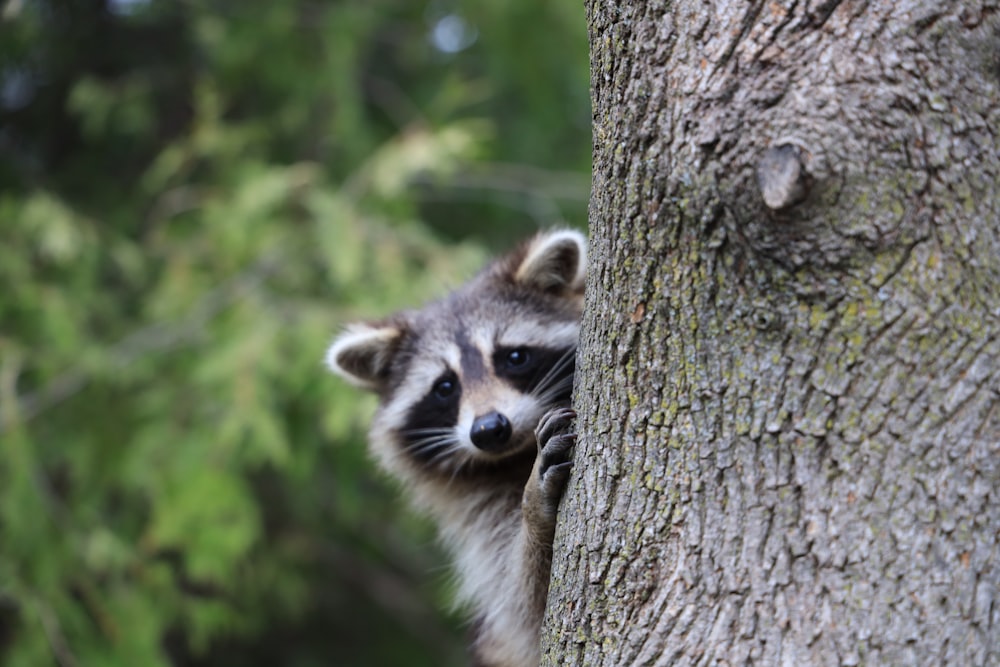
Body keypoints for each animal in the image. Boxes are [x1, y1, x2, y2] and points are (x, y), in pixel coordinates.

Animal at [326, 231, 584, 667]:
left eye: (514, 357)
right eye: (445, 387)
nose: (489, 430)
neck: (513, 457)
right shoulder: (481, 511)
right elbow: (524, 610)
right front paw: (534, 511)